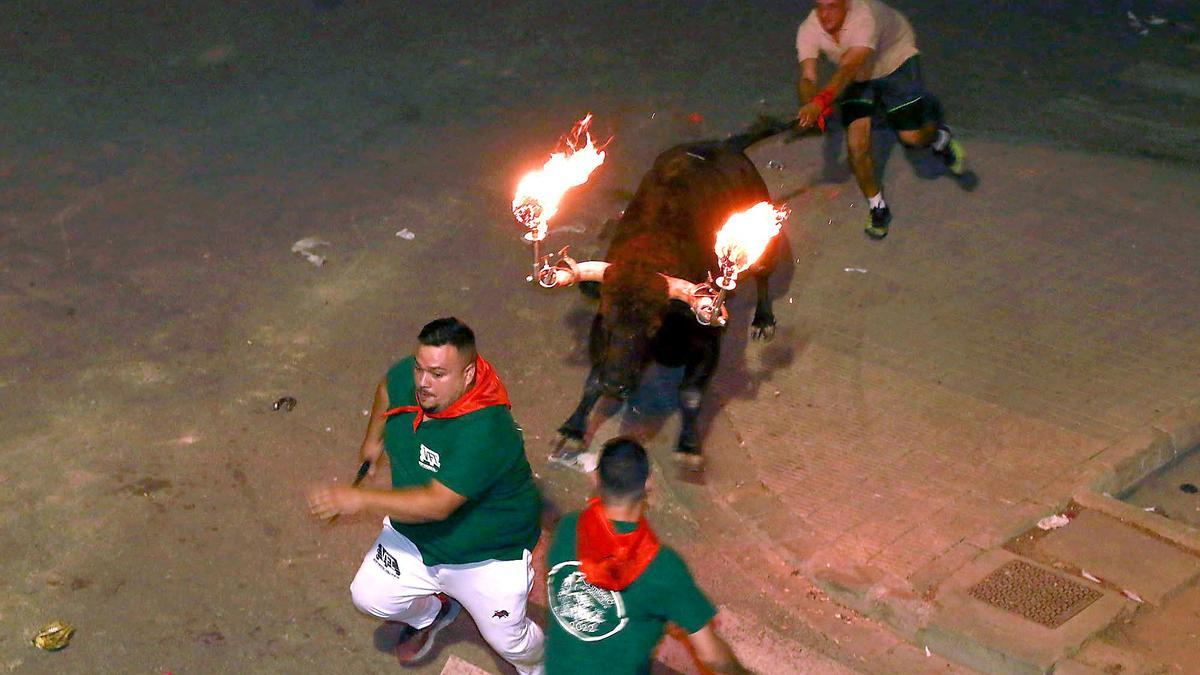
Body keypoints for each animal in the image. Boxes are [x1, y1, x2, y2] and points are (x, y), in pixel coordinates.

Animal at [547, 119, 796, 468]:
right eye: (608, 322)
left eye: (652, 329)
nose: (617, 385)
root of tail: (726, 145)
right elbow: (592, 380)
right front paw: (572, 427)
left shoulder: (708, 339)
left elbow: (690, 394)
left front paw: (689, 445)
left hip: (761, 243)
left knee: (762, 277)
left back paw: (763, 320)